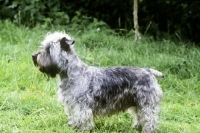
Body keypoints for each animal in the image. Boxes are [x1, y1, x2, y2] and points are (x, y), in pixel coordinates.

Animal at [32, 31, 163, 132]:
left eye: (49, 49)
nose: (33, 55)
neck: (72, 73)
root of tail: (148, 71)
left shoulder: (81, 105)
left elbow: (82, 118)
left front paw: (82, 129)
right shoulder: (71, 105)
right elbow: (74, 117)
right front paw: (73, 127)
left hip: (146, 104)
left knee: (149, 119)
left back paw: (147, 130)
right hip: (137, 104)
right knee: (140, 116)